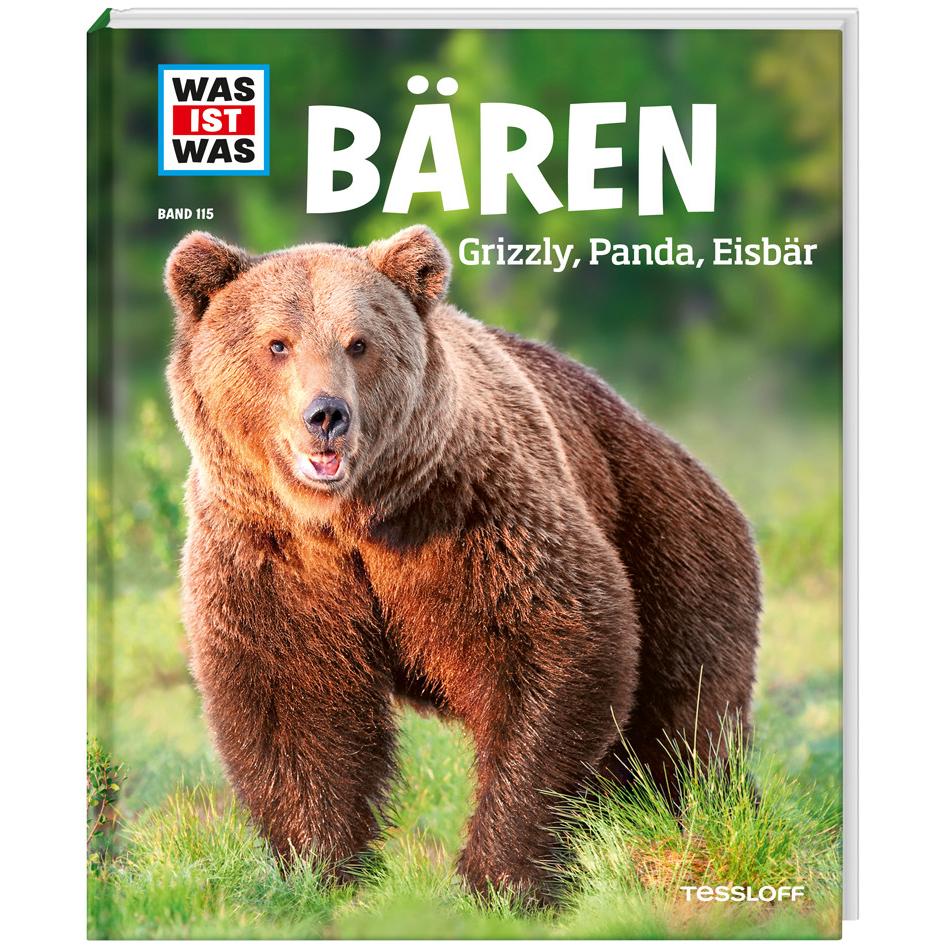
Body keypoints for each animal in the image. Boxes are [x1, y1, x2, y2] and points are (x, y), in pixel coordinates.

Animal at [164, 225, 761, 903]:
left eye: (358, 343)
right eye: (277, 344)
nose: (326, 415)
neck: (348, 519)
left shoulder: (468, 513)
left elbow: (552, 645)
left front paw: (501, 876)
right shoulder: (271, 551)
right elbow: (292, 699)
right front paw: (325, 869)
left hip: (664, 536)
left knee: (685, 719)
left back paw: (706, 815)